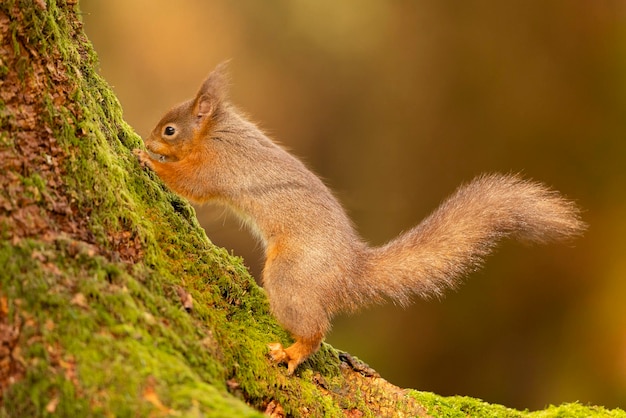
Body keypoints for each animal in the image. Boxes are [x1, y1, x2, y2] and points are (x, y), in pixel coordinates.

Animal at [133, 63, 584, 374]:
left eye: (170, 130)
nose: (151, 138)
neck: (214, 132)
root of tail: (349, 270)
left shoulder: (216, 166)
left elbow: (189, 184)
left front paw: (146, 159)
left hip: (290, 275)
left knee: (315, 329)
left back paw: (292, 353)